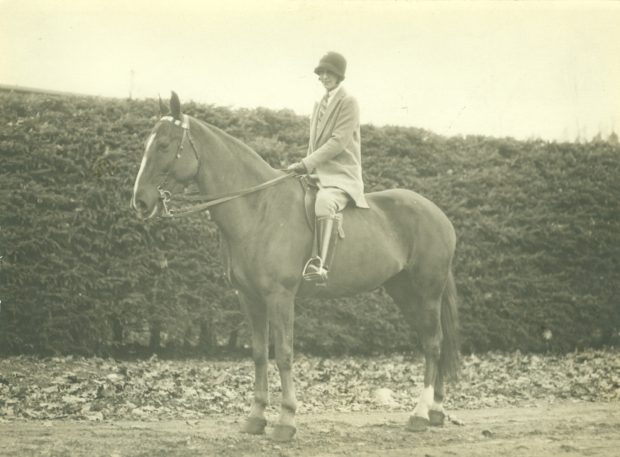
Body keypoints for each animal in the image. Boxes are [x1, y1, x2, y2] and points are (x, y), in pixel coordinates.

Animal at [132, 93, 460, 442]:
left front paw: (286, 421)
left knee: (433, 344)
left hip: (426, 293)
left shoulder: (280, 296)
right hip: (404, 293)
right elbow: (259, 354)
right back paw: (436, 410)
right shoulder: (249, 298)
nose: (140, 202)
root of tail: (438, 213)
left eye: (164, 145)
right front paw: (256, 418)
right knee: (433, 341)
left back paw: (420, 414)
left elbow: (284, 354)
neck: (258, 208)